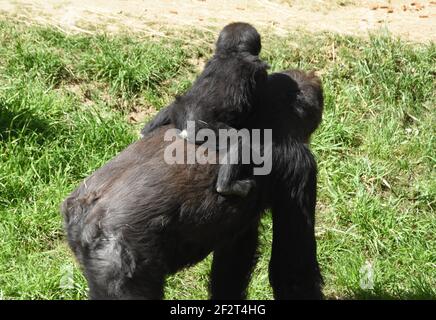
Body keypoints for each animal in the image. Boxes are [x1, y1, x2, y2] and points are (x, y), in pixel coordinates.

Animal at [141, 22, 268, 196]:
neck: (233, 53)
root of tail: (187, 129)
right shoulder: (260, 72)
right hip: (209, 130)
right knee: (239, 139)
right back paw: (227, 186)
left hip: (179, 110)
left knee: (171, 107)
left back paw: (143, 133)